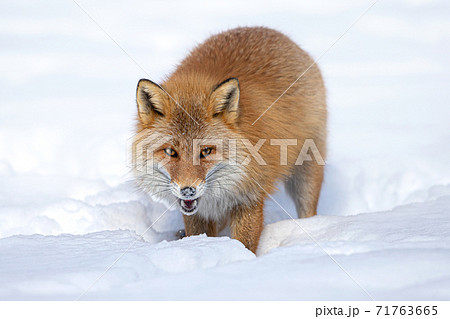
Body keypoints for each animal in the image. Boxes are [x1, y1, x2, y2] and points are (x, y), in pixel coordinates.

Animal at [132, 26, 326, 252]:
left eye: (206, 151)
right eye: (171, 152)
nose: (188, 190)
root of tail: (265, 29)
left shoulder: (250, 196)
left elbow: (245, 243)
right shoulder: (197, 211)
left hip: (306, 172)